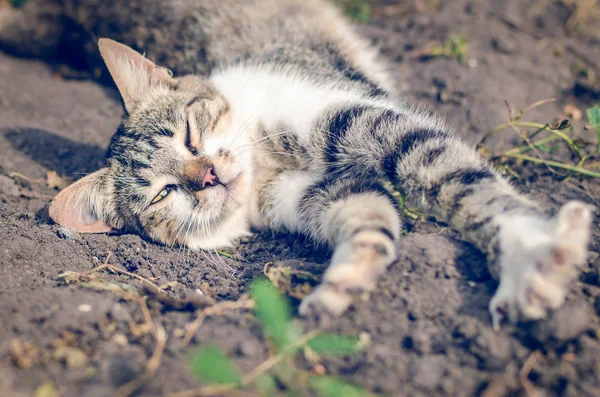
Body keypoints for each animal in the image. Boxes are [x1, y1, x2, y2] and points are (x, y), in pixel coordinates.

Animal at [0, 0, 592, 328]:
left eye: (189, 136)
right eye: (164, 193)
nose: (207, 176)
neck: (263, 165)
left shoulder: (366, 120)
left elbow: (462, 184)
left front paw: (532, 261)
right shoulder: (323, 195)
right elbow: (369, 221)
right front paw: (343, 285)